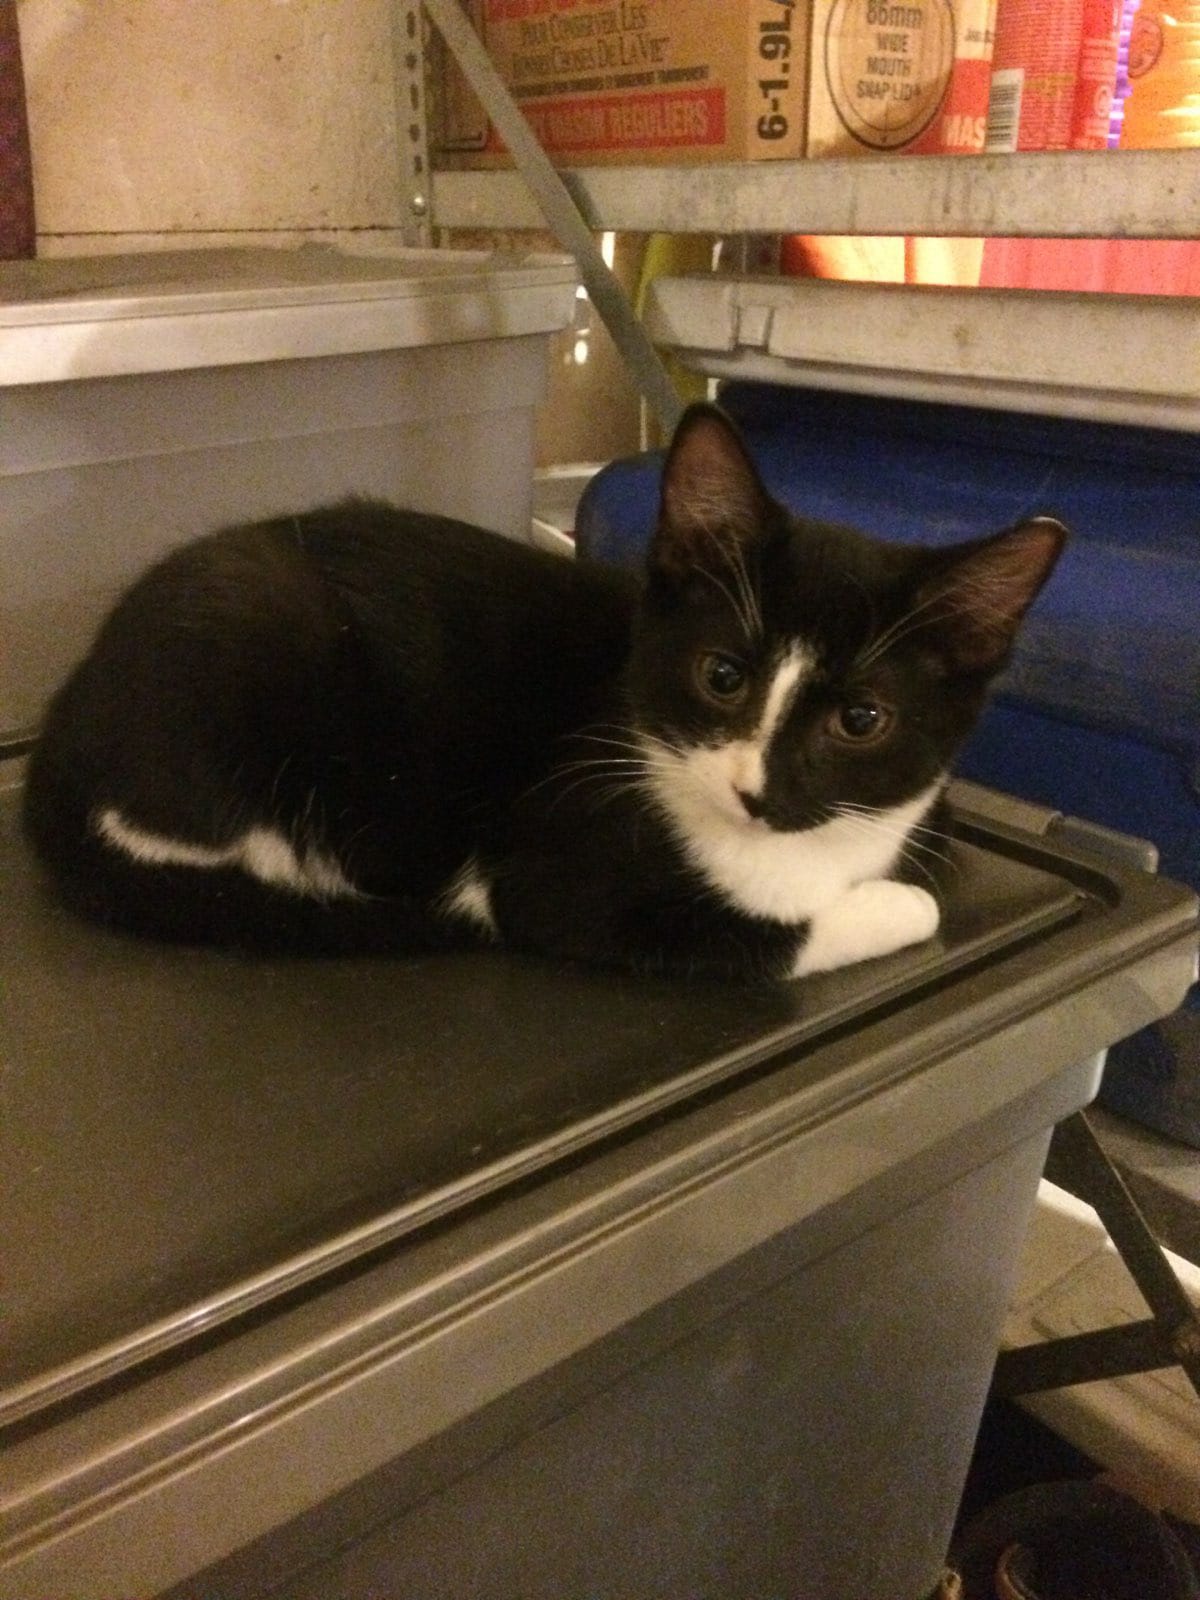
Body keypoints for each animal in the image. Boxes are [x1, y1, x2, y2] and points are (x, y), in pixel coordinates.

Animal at [21, 402, 1066, 981]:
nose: (756, 791)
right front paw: (895, 906)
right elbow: (783, 934)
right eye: (722, 676)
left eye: (862, 719)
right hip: (246, 639)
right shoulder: (556, 861)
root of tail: (64, 723)